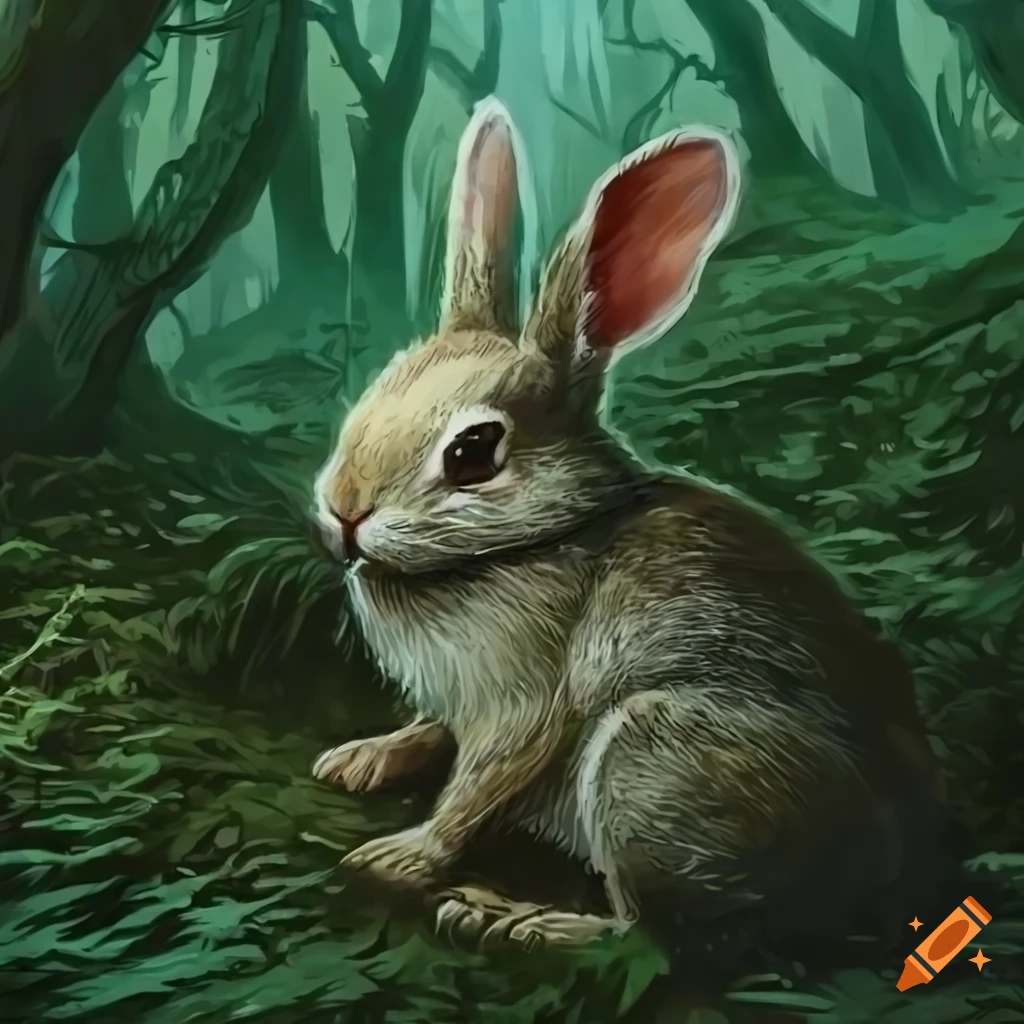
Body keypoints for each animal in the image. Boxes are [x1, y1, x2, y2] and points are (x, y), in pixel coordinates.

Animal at [311, 96, 949, 959]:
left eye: (472, 452)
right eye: (375, 391)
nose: (343, 512)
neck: (529, 541)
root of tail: (898, 854)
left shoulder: (528, 707)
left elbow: (478, 788)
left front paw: (399, 857)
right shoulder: (455, 705)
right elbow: (428, 730)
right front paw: (360, 760)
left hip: (649, 767)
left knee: (648, 933)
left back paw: (516, 918)